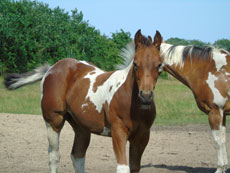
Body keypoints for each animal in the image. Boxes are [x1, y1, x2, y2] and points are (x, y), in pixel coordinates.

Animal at [3, 29, 162, 173]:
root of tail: (51, 69)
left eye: (159, 65)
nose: (145, 96)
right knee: (54, 156)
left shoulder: (142, 137)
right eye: (135, 64)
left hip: (81, 127)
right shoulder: (118, 132)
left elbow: (134, 167)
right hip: (54, 121)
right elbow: (123, 168)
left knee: (77, 156)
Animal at [150, 42, 229, 173]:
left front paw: (219, 168)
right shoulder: (222, 114)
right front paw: (224, 167)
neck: (209, 70)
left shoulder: (215, 112)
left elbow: (217, 142)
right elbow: (222, 140)